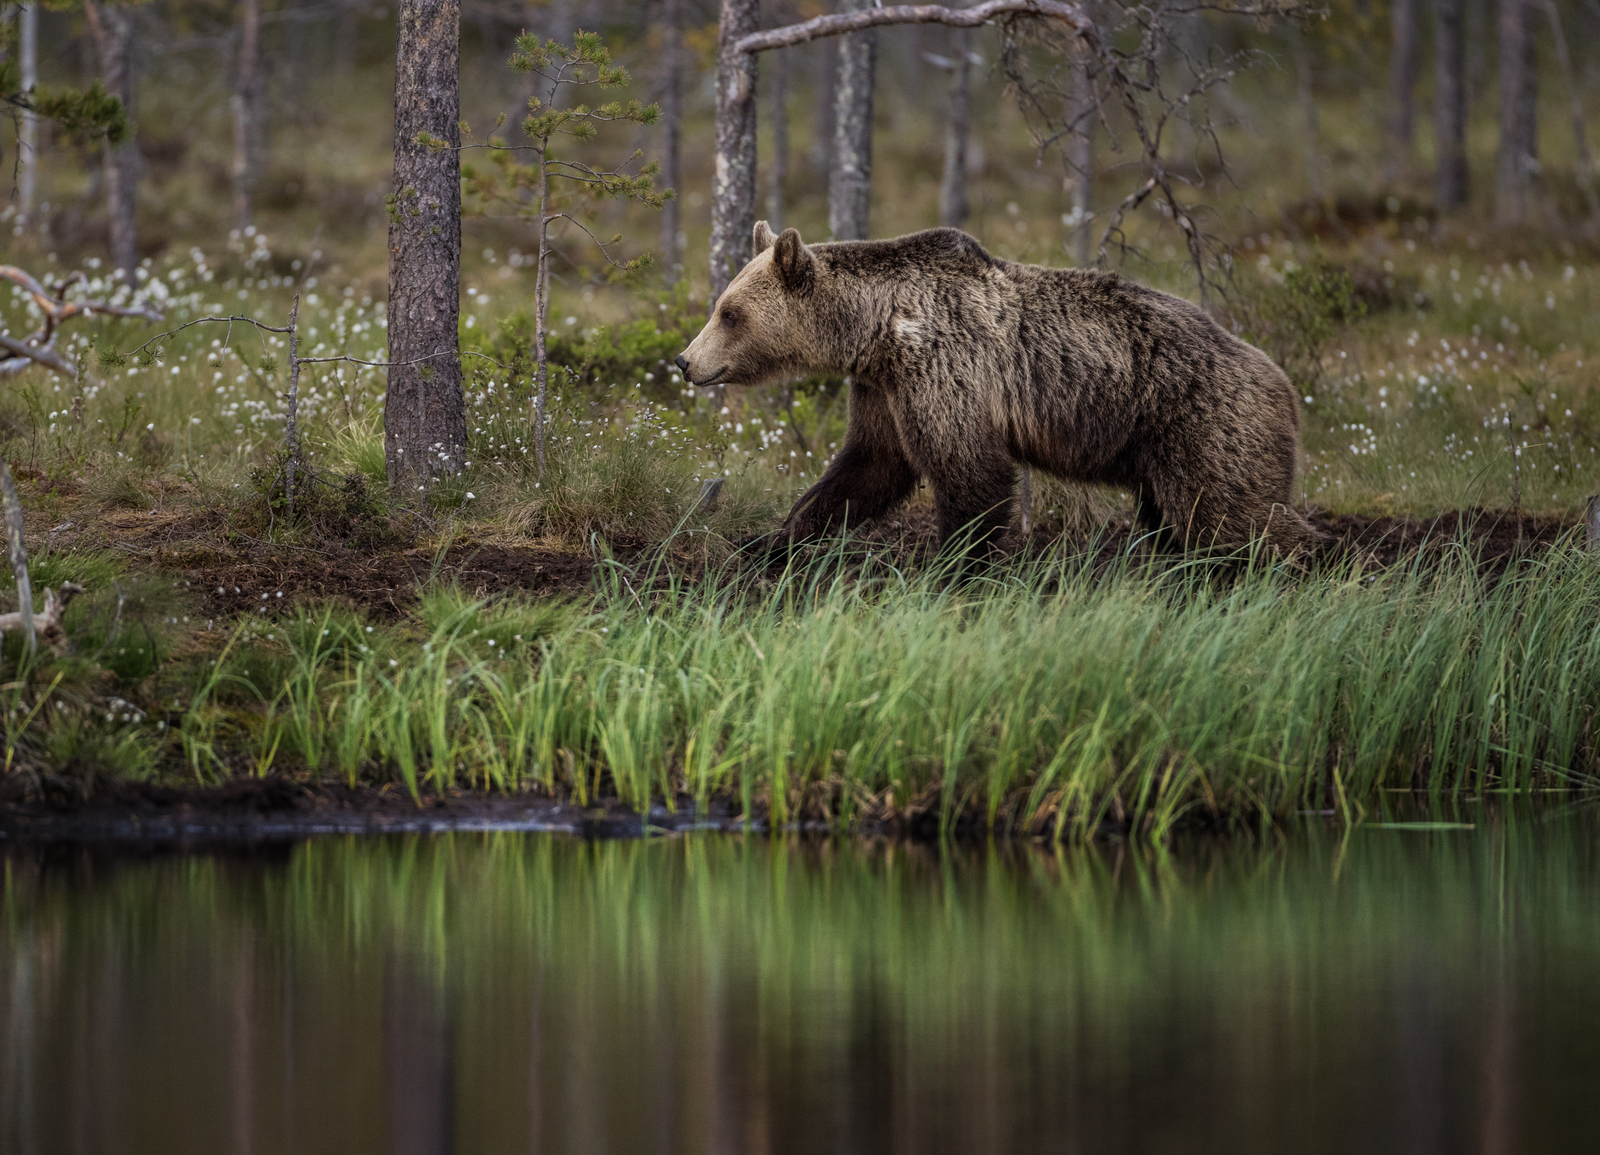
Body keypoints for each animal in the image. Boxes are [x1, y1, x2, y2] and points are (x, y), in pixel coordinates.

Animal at [675, 220, 1324, 556]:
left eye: (729, 313)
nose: (684, 361)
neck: (879, 329)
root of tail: (1285, 384)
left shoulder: (943, 368)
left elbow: (971, 472)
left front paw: (955, 566)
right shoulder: (884, 387)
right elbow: (869, 465)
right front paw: (775, 539)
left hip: (1207, 423)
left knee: (1235, 515)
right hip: (1163, 447)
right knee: (1177, 518)